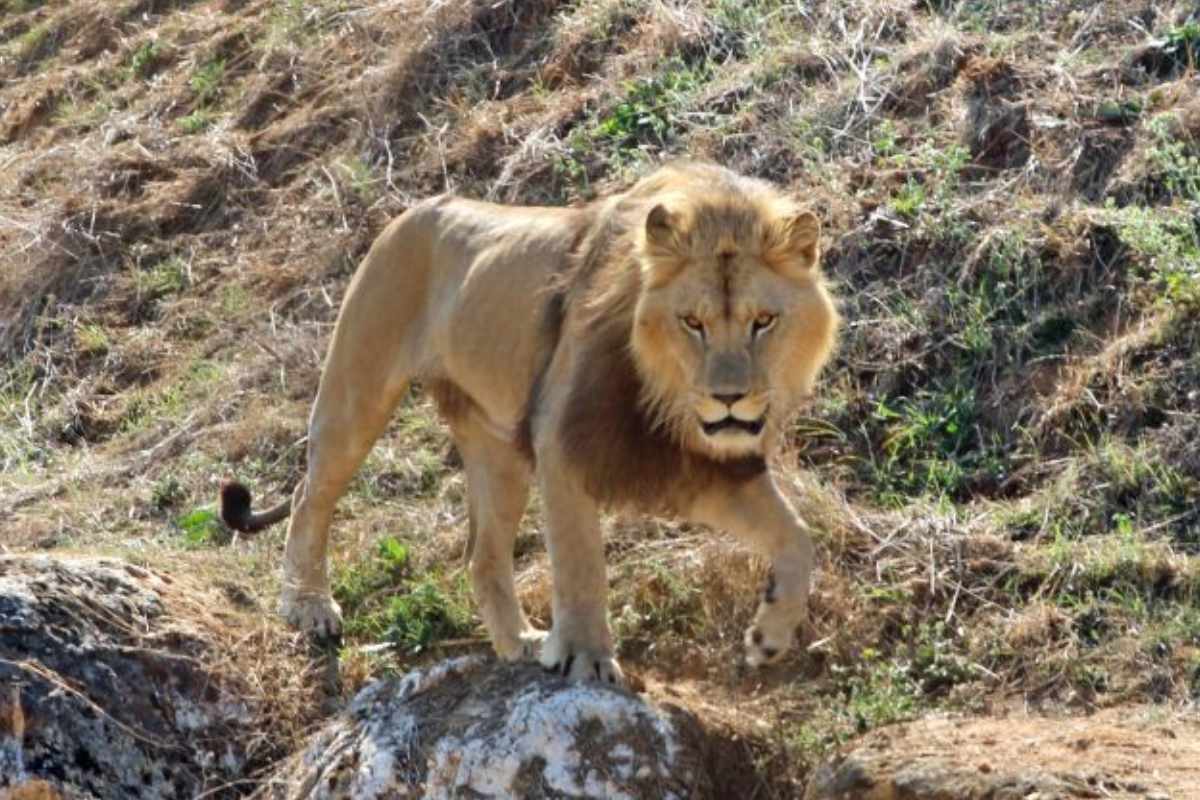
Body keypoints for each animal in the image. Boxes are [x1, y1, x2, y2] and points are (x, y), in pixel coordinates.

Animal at [220, 161, 839, 684]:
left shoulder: (703, 463)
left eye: (764, 321)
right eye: (692, 322)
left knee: (482, 556)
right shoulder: (562, 440)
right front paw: (587, 657)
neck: (663, 394)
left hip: (497, 450)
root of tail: (405, 213)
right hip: (357, 394)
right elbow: (580, 562)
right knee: (309, 498)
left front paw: (768, 636)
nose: (729, 399)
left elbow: (798, 537)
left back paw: (518, 641)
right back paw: (309, 606)